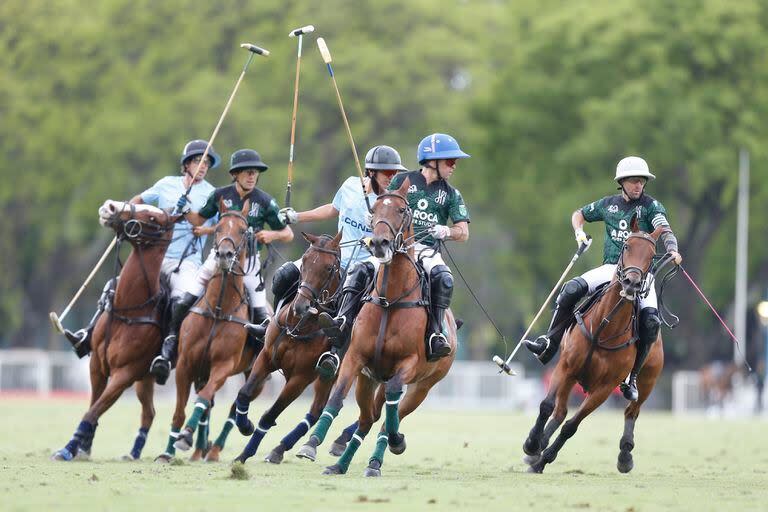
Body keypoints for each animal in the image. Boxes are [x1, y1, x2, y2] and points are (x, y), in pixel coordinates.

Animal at [53, 200, 178, 460]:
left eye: (154, 218)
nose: (109, 207)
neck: (130, 309)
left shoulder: (125, 374)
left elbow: (92, 411)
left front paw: (68, 449)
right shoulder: (97, 365)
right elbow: (93, 406)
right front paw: (83, 446)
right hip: (146, 377)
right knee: (149, 411)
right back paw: (133, 452)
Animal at [156, 201, 268, 464]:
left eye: (243, 230)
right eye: (218, 228)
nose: (224, 255)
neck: (218, 310)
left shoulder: (223, 365)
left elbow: (204, 398)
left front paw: (186, 435)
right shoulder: (186, 364)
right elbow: (180, 411)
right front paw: (168, 451)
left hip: (256, 374)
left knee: (234, 408)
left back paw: (216, 448)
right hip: (201, 370)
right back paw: (199, 450)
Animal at [220, 232, 344, 464]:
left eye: (329, 268)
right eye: (305, 261)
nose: (300, 306)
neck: (299, 326)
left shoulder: (300, 378)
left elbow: (270, 415)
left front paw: (245, 453)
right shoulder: (266, 357)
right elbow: (244, 393)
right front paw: (245, 425)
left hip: (331, 375)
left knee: (319, 409)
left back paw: (291, 448)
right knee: (317, 409)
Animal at [296, 179, 460, 476]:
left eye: (401, 209)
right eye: (374, 210)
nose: (380, 243)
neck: (389, 300)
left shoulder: (409, 364)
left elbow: (391, 408)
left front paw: (396, 441)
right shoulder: (355, 358)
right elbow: (337, 398)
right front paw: (311, 442)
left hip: (423, 386)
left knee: (388, 416)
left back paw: (378, 457)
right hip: (369, 378)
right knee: (367, 417)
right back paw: (340, 464)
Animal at [520, 215, 664, 472]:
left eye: (652, 254)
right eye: (627, 246)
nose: (631, 283)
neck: (604, 328)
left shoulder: (605, 388)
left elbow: (571, 426)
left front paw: (543, 459)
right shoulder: (566, 367)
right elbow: (547, 406)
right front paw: (532, 445)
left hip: (648, 379)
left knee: (632, 410)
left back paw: (625, 455)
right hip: (573, 376)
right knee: (559, 411)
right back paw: (537, 447)